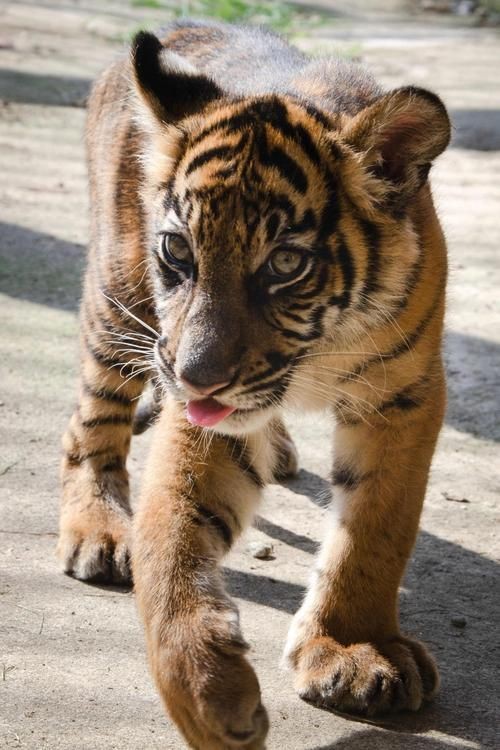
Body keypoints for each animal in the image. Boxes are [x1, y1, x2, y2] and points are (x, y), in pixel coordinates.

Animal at [58, 18, 451, 750]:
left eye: (286, 264)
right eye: (178, 251)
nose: (194, 377)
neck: (321, 351)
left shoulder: (404, 398)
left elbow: (376, 530)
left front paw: (354, 649)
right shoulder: (203, 416)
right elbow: (168, 544)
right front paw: (211, 702)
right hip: (117, 298)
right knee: (92, 423)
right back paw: (98, 530)